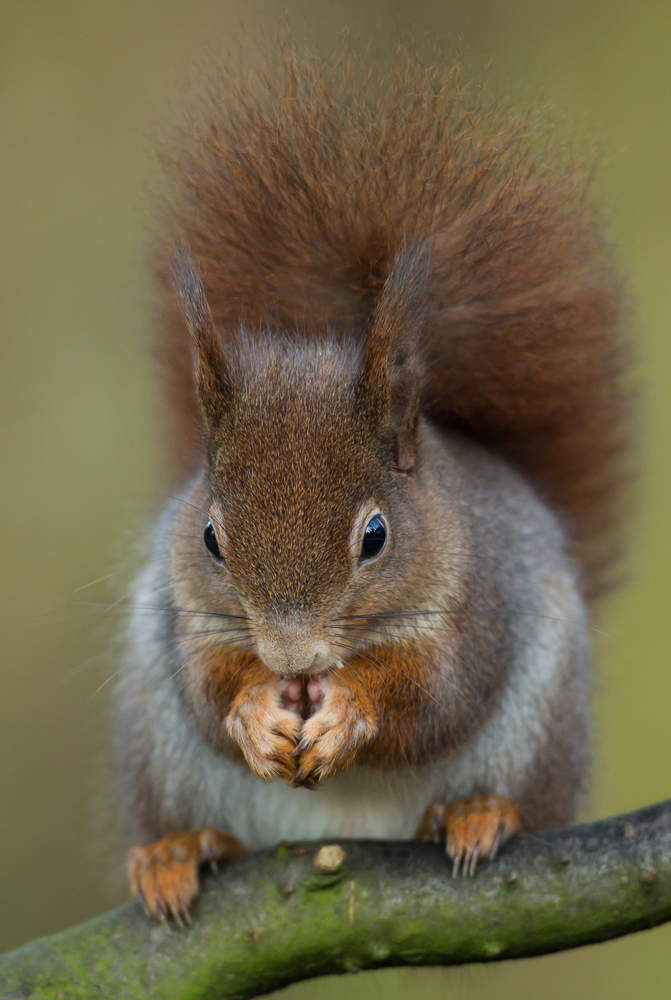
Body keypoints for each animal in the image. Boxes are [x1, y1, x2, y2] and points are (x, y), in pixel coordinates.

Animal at [117, 47, 632, 920]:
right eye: (211, 538)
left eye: (375, 536)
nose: (289, 657)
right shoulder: (189, 614)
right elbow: (206, 686)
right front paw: (253, 711)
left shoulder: (477, 605)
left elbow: (434, 696)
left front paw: (352, 709)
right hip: (154, 737)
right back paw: (177, 851)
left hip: (541, 724)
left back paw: (475, 813)